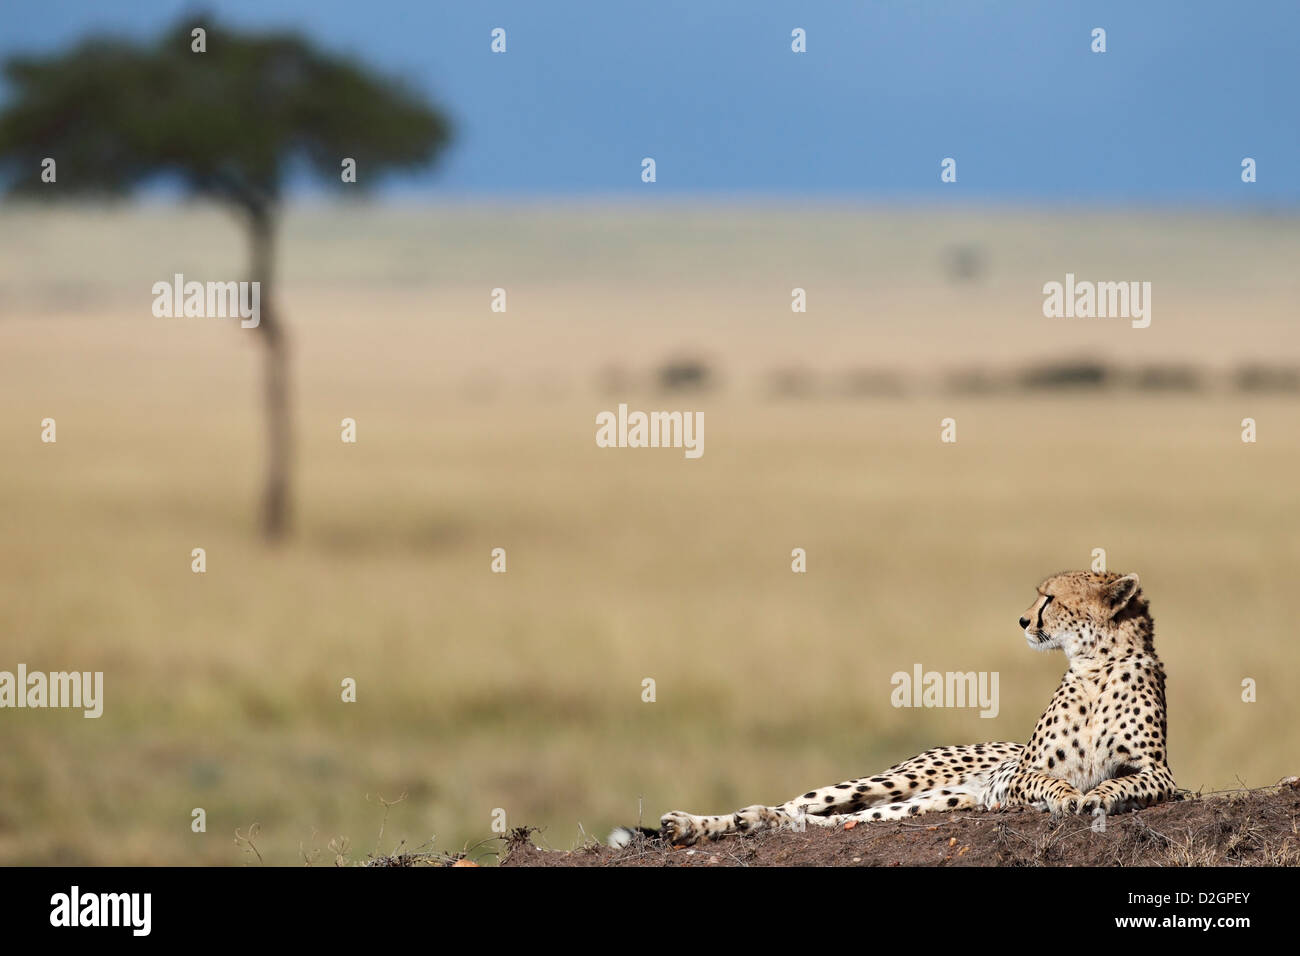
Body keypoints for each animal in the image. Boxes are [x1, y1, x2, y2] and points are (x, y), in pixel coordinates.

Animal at [611, 567, 1180, 842]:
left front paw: (1096, 795)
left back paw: (757, 825)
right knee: (794, 804)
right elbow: (1047, 780)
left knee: (831, 821)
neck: (1096, 667)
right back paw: (697, 824)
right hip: (892, 780)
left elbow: (1121, 782)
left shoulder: (1159, 773)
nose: (1022, 620)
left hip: (937, 801)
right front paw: (1067, 795)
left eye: (1050, 598)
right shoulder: (1022, 772)